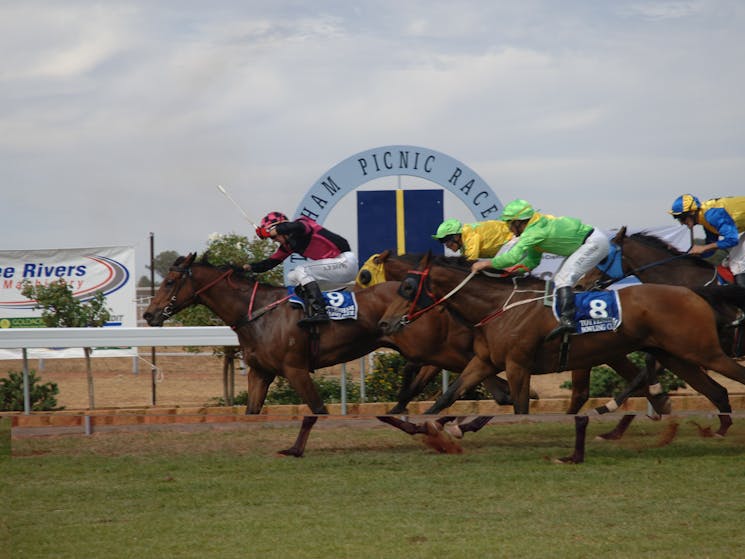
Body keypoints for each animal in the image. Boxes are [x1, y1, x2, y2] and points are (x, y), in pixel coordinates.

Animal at [378, 256, 745, 462]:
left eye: (407, 288)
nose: (384, 323)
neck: (498, 308)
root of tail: (694, 291)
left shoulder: (517, 365)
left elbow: (519, 407)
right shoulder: (483, 362)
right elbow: (445, 398)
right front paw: (426, 428)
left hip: (702, 351)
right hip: (674, 355)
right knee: (716, 391)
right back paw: (716, 428)